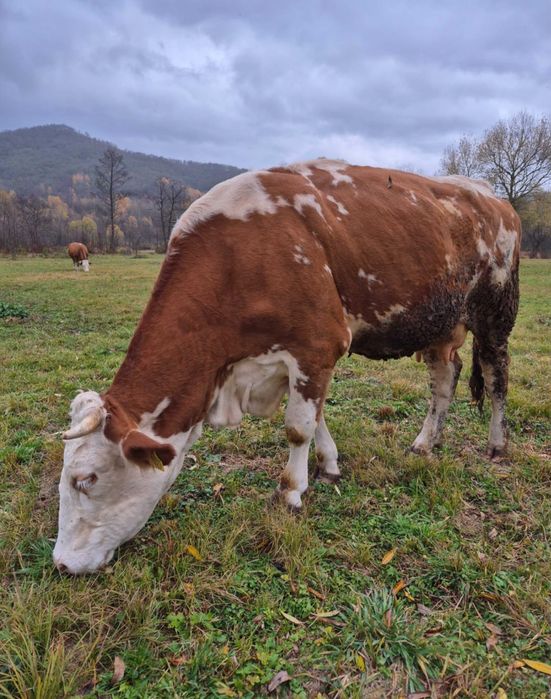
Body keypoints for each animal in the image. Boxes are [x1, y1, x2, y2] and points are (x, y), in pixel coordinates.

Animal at [53, 159, 521, 574]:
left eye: (86, 479)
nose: (61, 563)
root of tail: (490, 194)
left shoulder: (316, 344)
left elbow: (298, 427)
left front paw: (291, 491)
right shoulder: (299, 359)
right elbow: (318, 417)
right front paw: (328, 465)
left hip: (495, 310)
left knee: (496, 375)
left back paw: (497, 444)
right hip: (439, 324)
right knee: (445, 379)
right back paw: (424, 442)